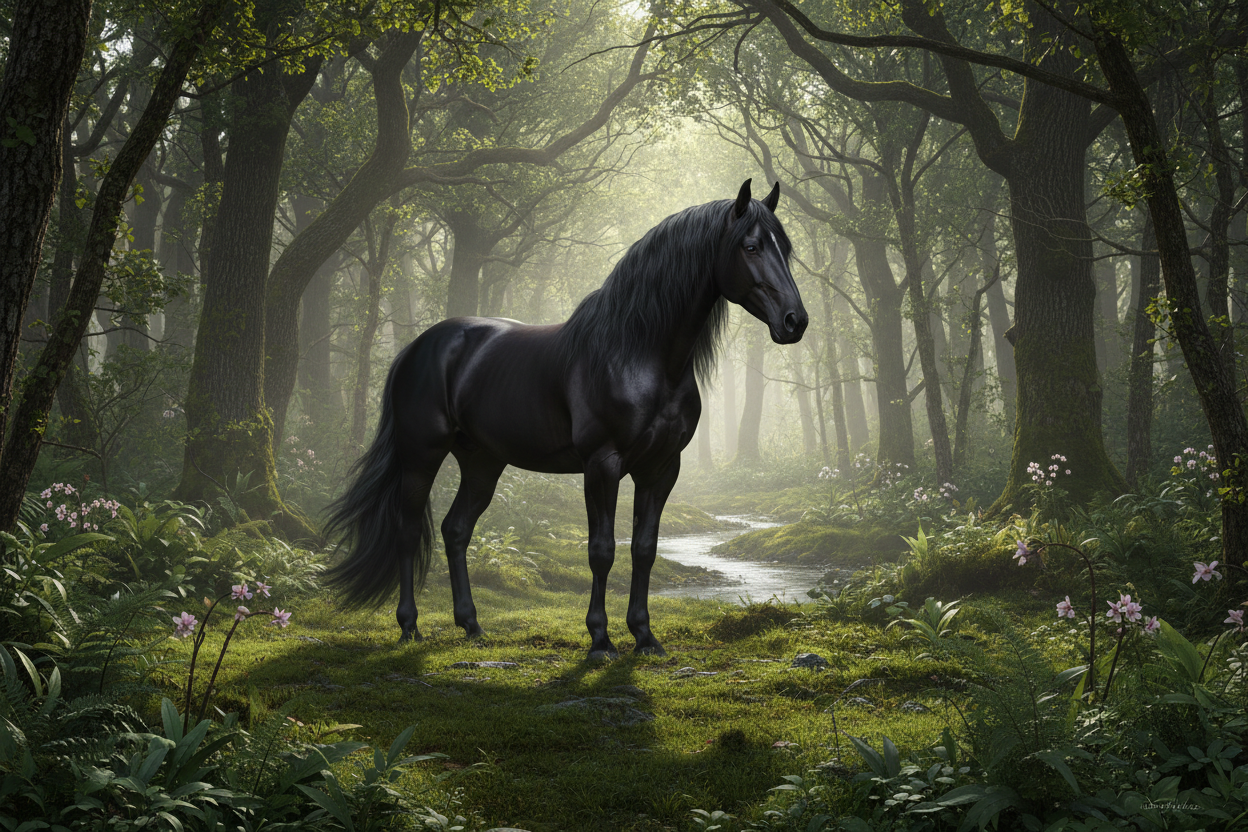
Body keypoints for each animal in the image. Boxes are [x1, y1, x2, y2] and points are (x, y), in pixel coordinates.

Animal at [324, 179, 808, 659]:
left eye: (785, 248)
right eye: (750, 246)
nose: (795, 322)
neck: (638, 355)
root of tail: (417, 346)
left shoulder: (661, 468)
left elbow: (644, 549)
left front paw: (645, 637)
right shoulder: (602, 465)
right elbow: (602, 551)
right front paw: (600, 640)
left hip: (482, 461)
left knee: (456, 529)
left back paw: (472, 626)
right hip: (421, 455)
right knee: (408, 531)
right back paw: (409, 626)